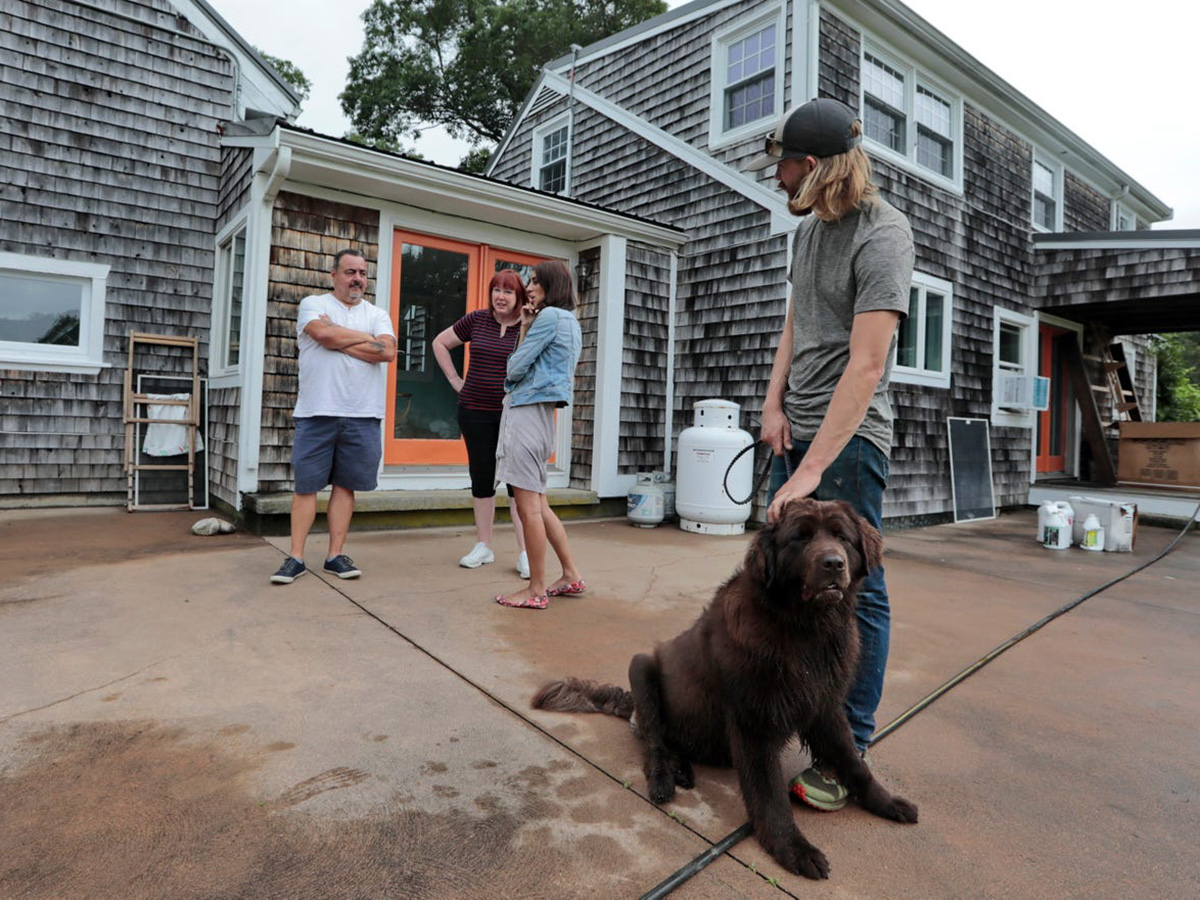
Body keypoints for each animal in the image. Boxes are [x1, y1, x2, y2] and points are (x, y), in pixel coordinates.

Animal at [530, 501, 912, 883]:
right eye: (800, 539)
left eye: (842, 537)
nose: (833, 563)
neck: (805, 630)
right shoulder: (754, 721)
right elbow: (770, 794)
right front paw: (793, 848)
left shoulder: (825, 706)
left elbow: (853, 761)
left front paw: (887, 801)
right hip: (641, 668)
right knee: (654, 744)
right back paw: (665, 778)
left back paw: (682, 768)